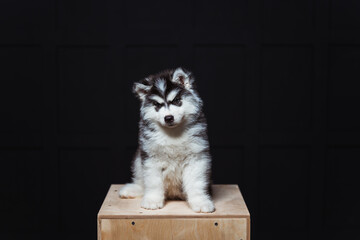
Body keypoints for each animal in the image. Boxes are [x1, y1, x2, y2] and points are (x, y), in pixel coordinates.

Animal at [119, 67, 214, 212]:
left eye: (176, 101)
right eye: (157, 105)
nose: (168, 118)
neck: (173, 133)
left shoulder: (196, 157)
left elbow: (196, 183)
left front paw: (200, 201)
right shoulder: (151, 158)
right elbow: (153, 182)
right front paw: (152, 200)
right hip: (138, 159)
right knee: (142, 182)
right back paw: (133, 189)